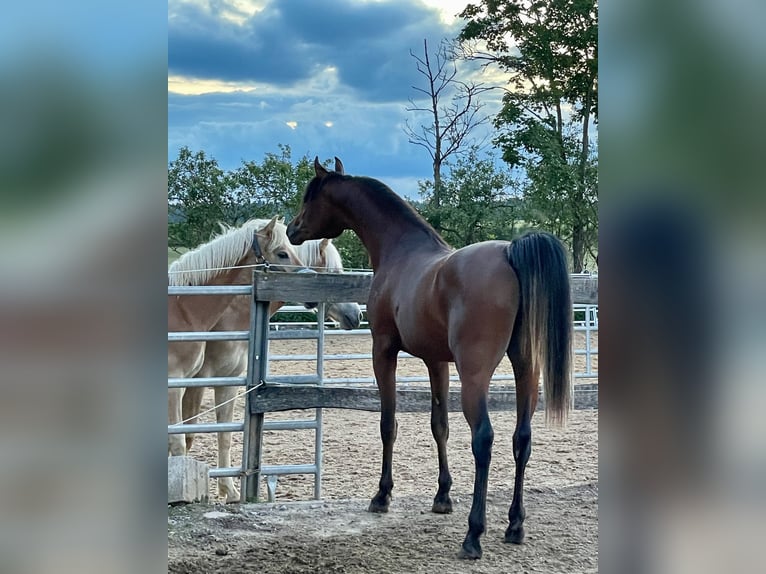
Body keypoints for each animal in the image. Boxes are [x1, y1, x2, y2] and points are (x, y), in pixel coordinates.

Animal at [181, 236, 364, 502]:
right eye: (333, 272)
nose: (357, 315)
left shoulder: (229, 381)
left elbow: (224, 435)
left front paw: (230, 491)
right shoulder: (197, 381)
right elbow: (188, 433)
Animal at [284, 159, 572, 564]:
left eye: (311, 195)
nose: (292, 230)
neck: (402, 251)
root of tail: (511, 252)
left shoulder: (383, 351)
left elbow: (388, 424)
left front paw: (382, 495)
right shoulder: (437, 361)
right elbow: (440, 425)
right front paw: (442, 496)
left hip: (475, 374)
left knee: (484, 439)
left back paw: (473, 536)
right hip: (526, 369)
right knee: (522, 438)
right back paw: (515, 526)